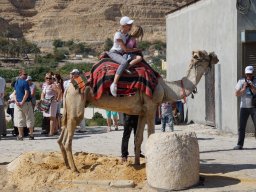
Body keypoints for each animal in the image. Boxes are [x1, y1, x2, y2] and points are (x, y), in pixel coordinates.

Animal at [58, 49, 220, 171]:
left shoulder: (141, 112)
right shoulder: (151, 107)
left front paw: (137, 163)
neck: (165, 87)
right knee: (68, 138)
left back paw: (66, 165)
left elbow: (138, 139)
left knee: (62, 135)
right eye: (205, 55)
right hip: (76, 106)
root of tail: (68, 86)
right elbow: (150, 135)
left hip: (69, 108)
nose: (216, 57)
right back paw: (75, 169)